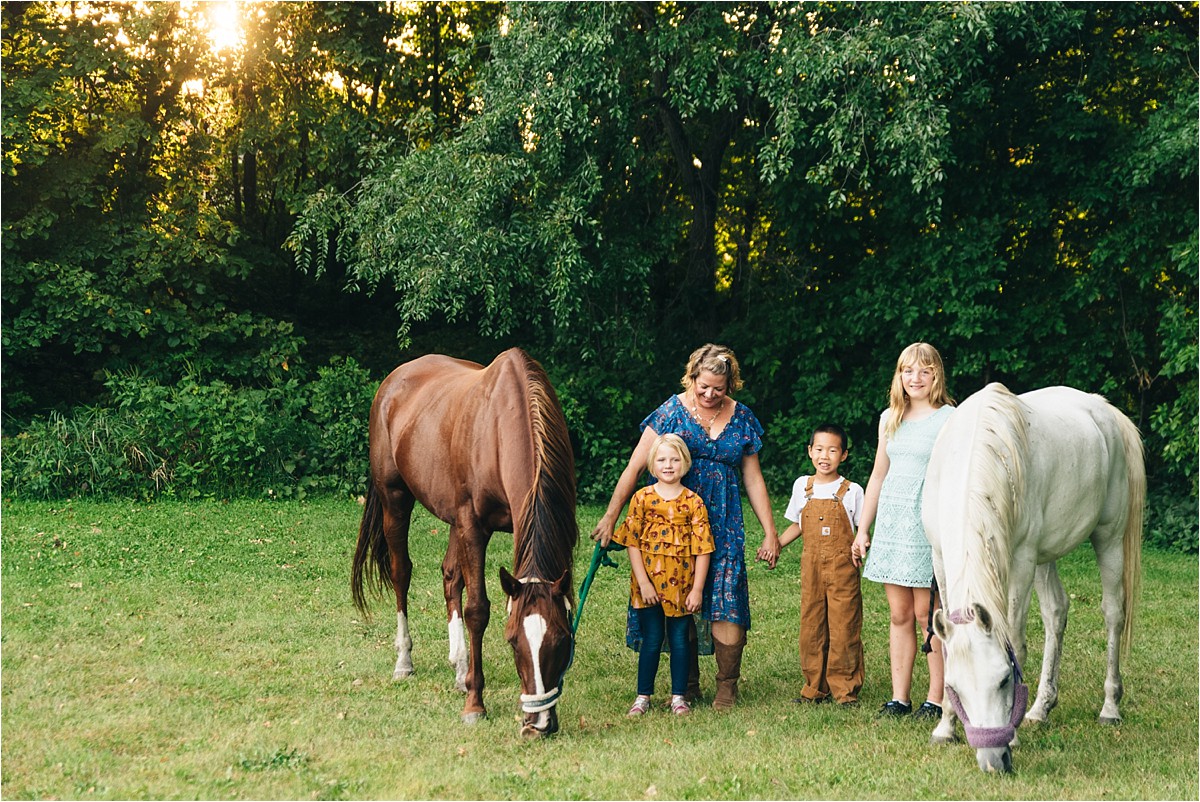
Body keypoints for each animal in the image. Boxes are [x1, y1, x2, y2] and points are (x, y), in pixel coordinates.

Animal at [350, 348, 578, 734]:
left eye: (562, 639)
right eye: (512, 640)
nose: (539, 722)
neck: (504, 424)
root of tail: (393, 381)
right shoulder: (473, 527)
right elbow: (477, 610)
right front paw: (475, 703)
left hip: (452, 520)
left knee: (450, 576)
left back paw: (460, 667)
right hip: (396, 499)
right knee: (401, 573)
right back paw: (405, 660)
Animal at [916, 384, 1142, 773]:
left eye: (1005, 680)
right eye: (957, 686)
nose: (993, 760)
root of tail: (1105, 410)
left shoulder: (1020, 561)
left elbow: (1016, 642)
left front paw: (1013, 734)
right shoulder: (941, 558)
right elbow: (945, 650)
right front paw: (945, 727)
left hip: (1107, 538)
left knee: (1113, 613)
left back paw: (1110, 707)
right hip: (1044, 557)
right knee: (1056, 612)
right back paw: (1040, 708)